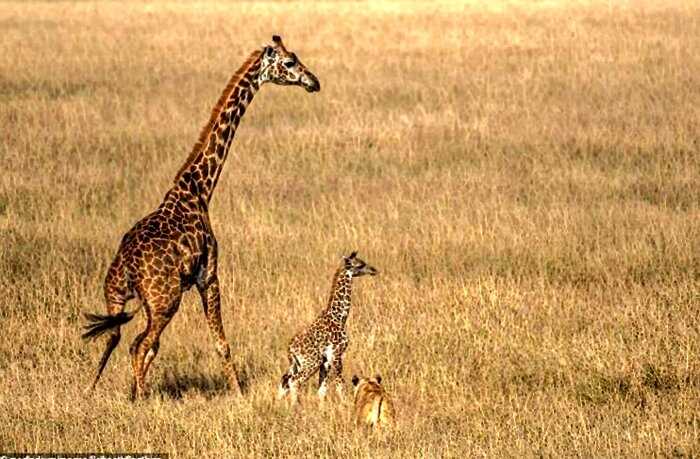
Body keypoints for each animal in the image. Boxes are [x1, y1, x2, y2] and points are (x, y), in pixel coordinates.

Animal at [82, 36, 320, 400]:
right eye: (290, 62)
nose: (314, 82)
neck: (198, 188)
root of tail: (130, 267)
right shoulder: (208, 275)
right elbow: (222, 343)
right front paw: (239, 394)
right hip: (165, 300)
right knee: (138, 344)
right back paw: (141, 399)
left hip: (117, 295)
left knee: (115, 338)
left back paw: (98, 391)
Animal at [278, 252, 378, 406]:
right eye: (360, 264)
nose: (373, 270)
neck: (339, 316)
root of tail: (290, 349)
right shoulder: (336, 354)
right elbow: (340, 385)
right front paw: (345, 405)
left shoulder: (326, 360)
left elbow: (322, 390)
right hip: (311, 362)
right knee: (294, 381)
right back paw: (295, 407)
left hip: (298, 364)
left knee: (285, 379)